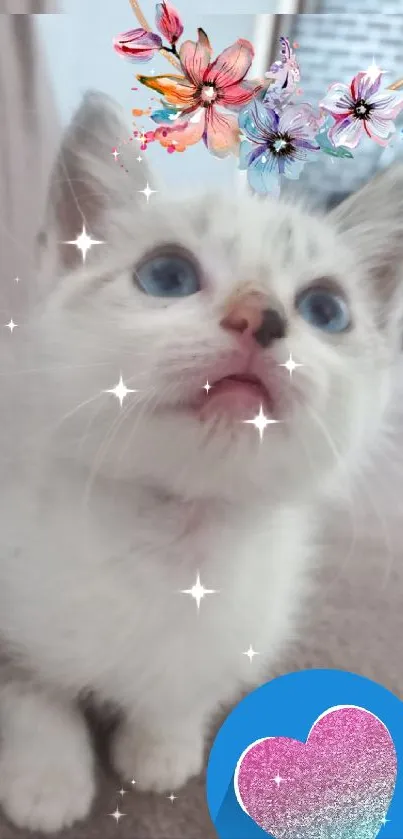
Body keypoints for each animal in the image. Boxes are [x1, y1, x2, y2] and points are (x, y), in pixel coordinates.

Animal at [0, 93, 403, 832]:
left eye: (325, 309)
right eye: (167, 275)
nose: (260, 316)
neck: (172, 546)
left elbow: (186, 683)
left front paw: (161, 745)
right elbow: (31, 688)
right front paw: (45, 780)